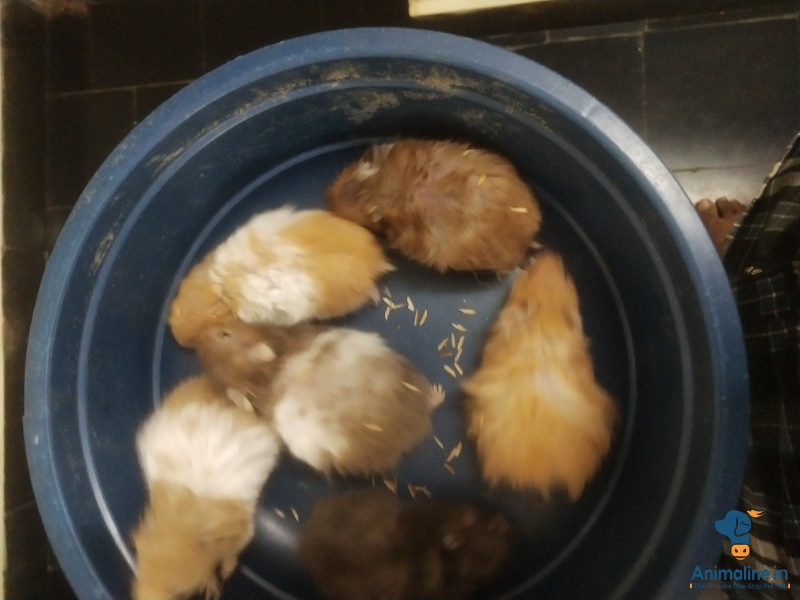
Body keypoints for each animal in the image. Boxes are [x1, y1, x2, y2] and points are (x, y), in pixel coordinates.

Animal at [131, 375, 281, 600]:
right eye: (140, 563)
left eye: (178, 591)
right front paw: (213, 586)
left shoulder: (243, 536)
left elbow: (231, 556)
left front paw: (223, 578)